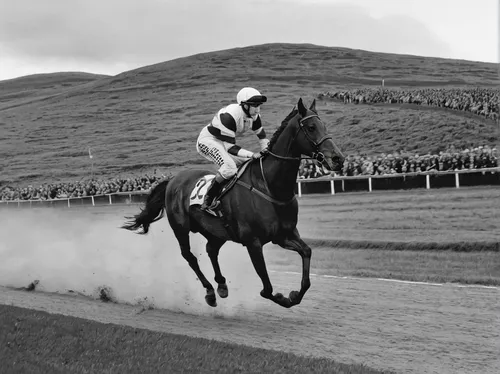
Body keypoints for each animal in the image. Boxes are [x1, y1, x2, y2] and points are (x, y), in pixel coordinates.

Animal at [123, 98, 346, 308]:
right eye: (311, 127)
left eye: (324, 125)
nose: (338, 158)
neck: (269, 185)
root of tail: (172, 180)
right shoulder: (253, 242)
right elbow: (267, 289)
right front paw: (283, 297)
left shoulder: (284, 235)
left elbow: (306, 254)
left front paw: (293, 295)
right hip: (180, 227)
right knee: (190, 256)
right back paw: (210, 292)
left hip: (216, 231)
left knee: (211, 250)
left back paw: (221, 285)